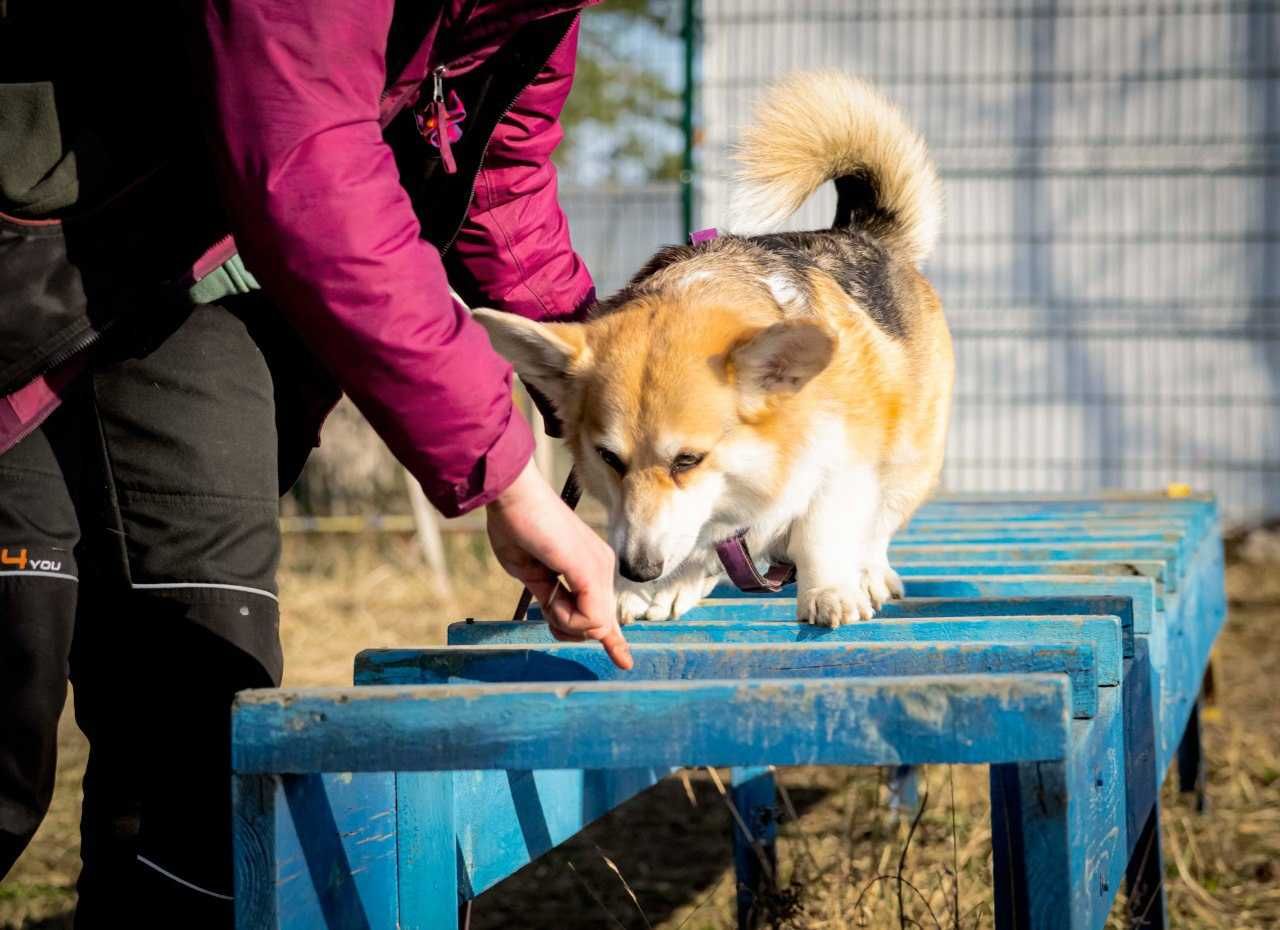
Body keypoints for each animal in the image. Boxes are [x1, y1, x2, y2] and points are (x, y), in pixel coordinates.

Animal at [478, 70, 952, 626]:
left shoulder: (843, 461)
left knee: (877, 523)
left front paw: (830, 590)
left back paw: (869, 572)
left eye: (688, 459)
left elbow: (822, 530)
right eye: (608, 457)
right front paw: (651, 587)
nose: (639, 569)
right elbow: (708, 534)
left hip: (910, 457)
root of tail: (862, 231)